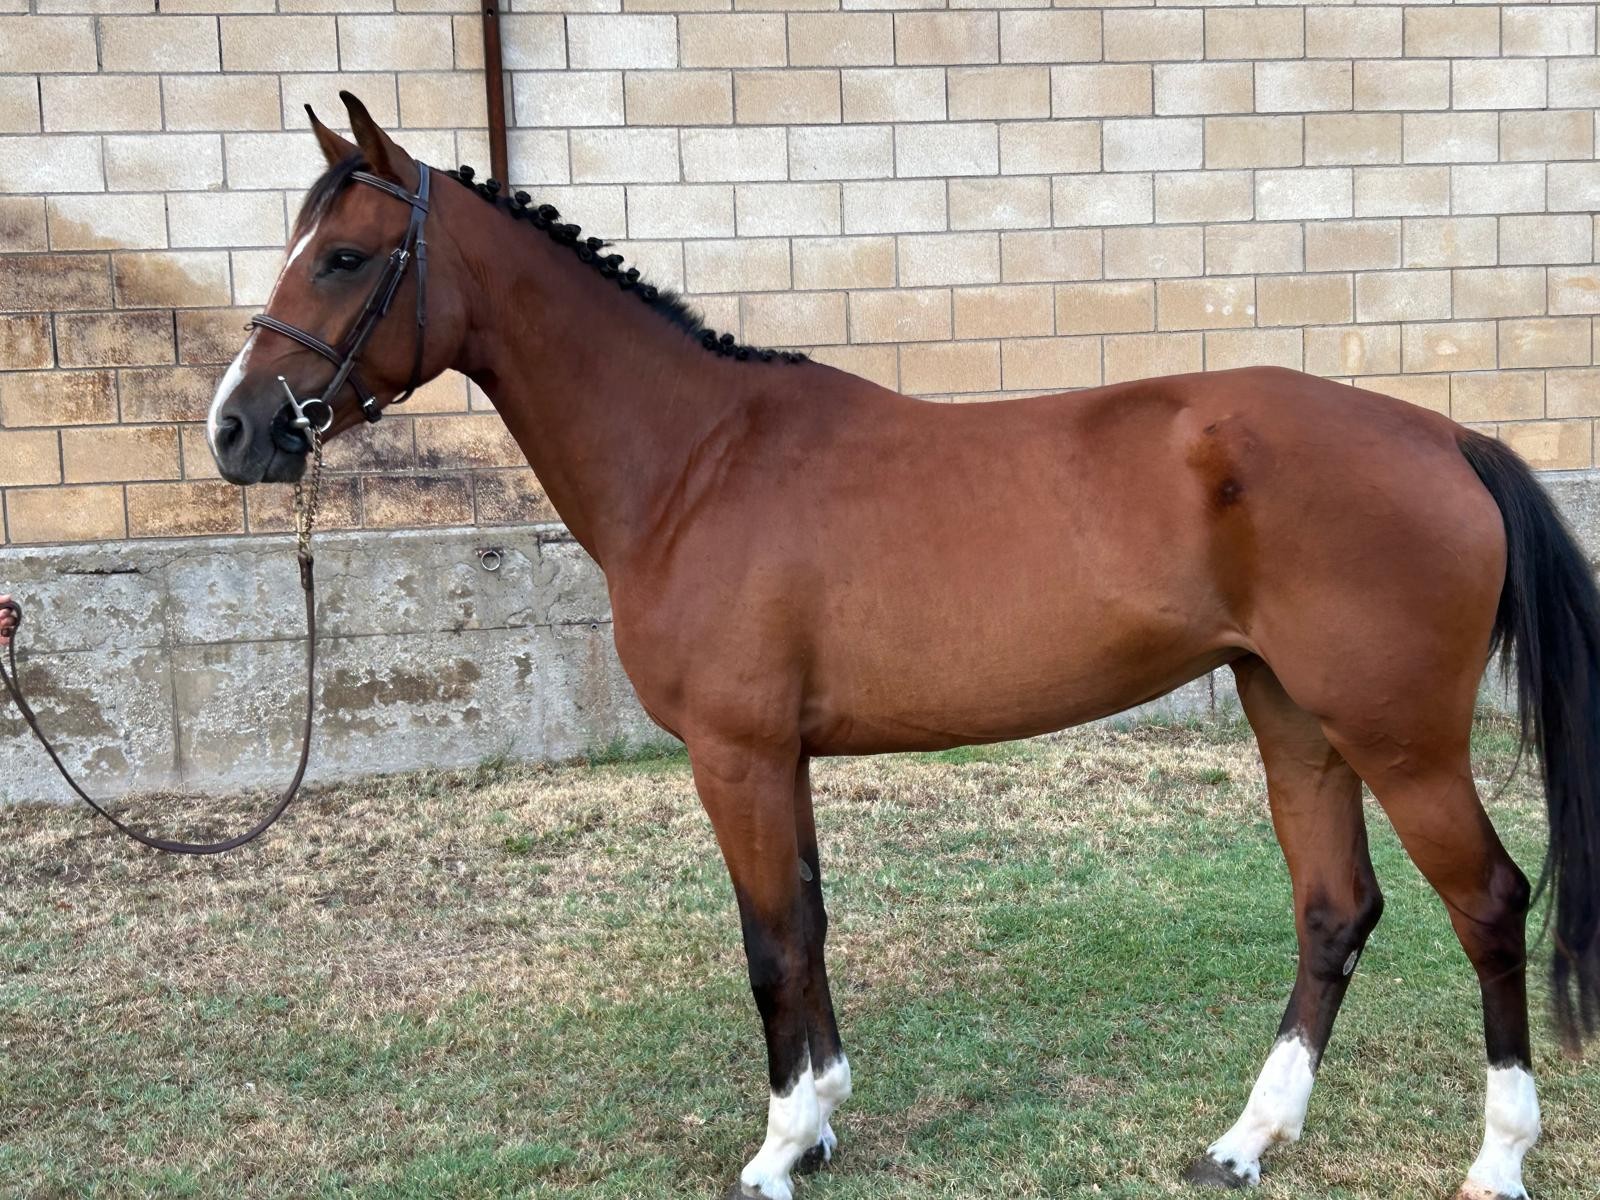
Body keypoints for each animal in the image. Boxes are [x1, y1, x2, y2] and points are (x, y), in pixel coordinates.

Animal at [205, 93, 1598, 1200]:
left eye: (344, 257)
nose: (237, 431)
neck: (699, 461)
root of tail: (1443, 436)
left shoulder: (736, 754)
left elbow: (770, 943)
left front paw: (775, 1151)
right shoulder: (779, 758)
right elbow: (810, 925)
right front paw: (820, 1120)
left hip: (1398, 740)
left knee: (1487, 904)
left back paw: (1494, 1161)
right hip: (1295, 720)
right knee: (1333, 911)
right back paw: (1247, 1140)